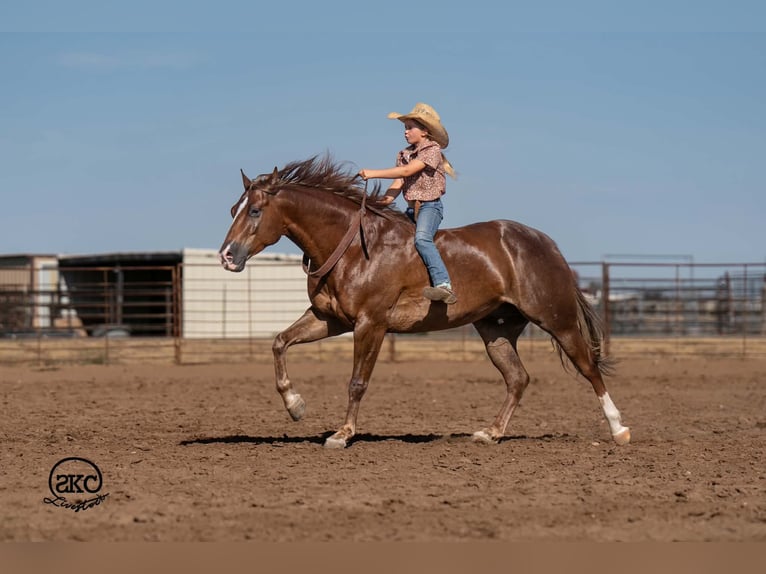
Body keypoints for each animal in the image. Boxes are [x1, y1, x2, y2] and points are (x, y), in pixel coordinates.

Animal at [218, 155, 630, 449]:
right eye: (233, 209)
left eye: (255, 210)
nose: (226, 256)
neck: (354, 248)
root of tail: (544, 243)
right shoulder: (328, 319)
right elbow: (279, 342)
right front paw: (295, 405)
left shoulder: (371, 324)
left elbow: (357, 381)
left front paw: (343, 433)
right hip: (495, 330)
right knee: (518, 378)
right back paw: (491, 433)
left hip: (557, 319)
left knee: (588, 367)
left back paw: (619, 429)